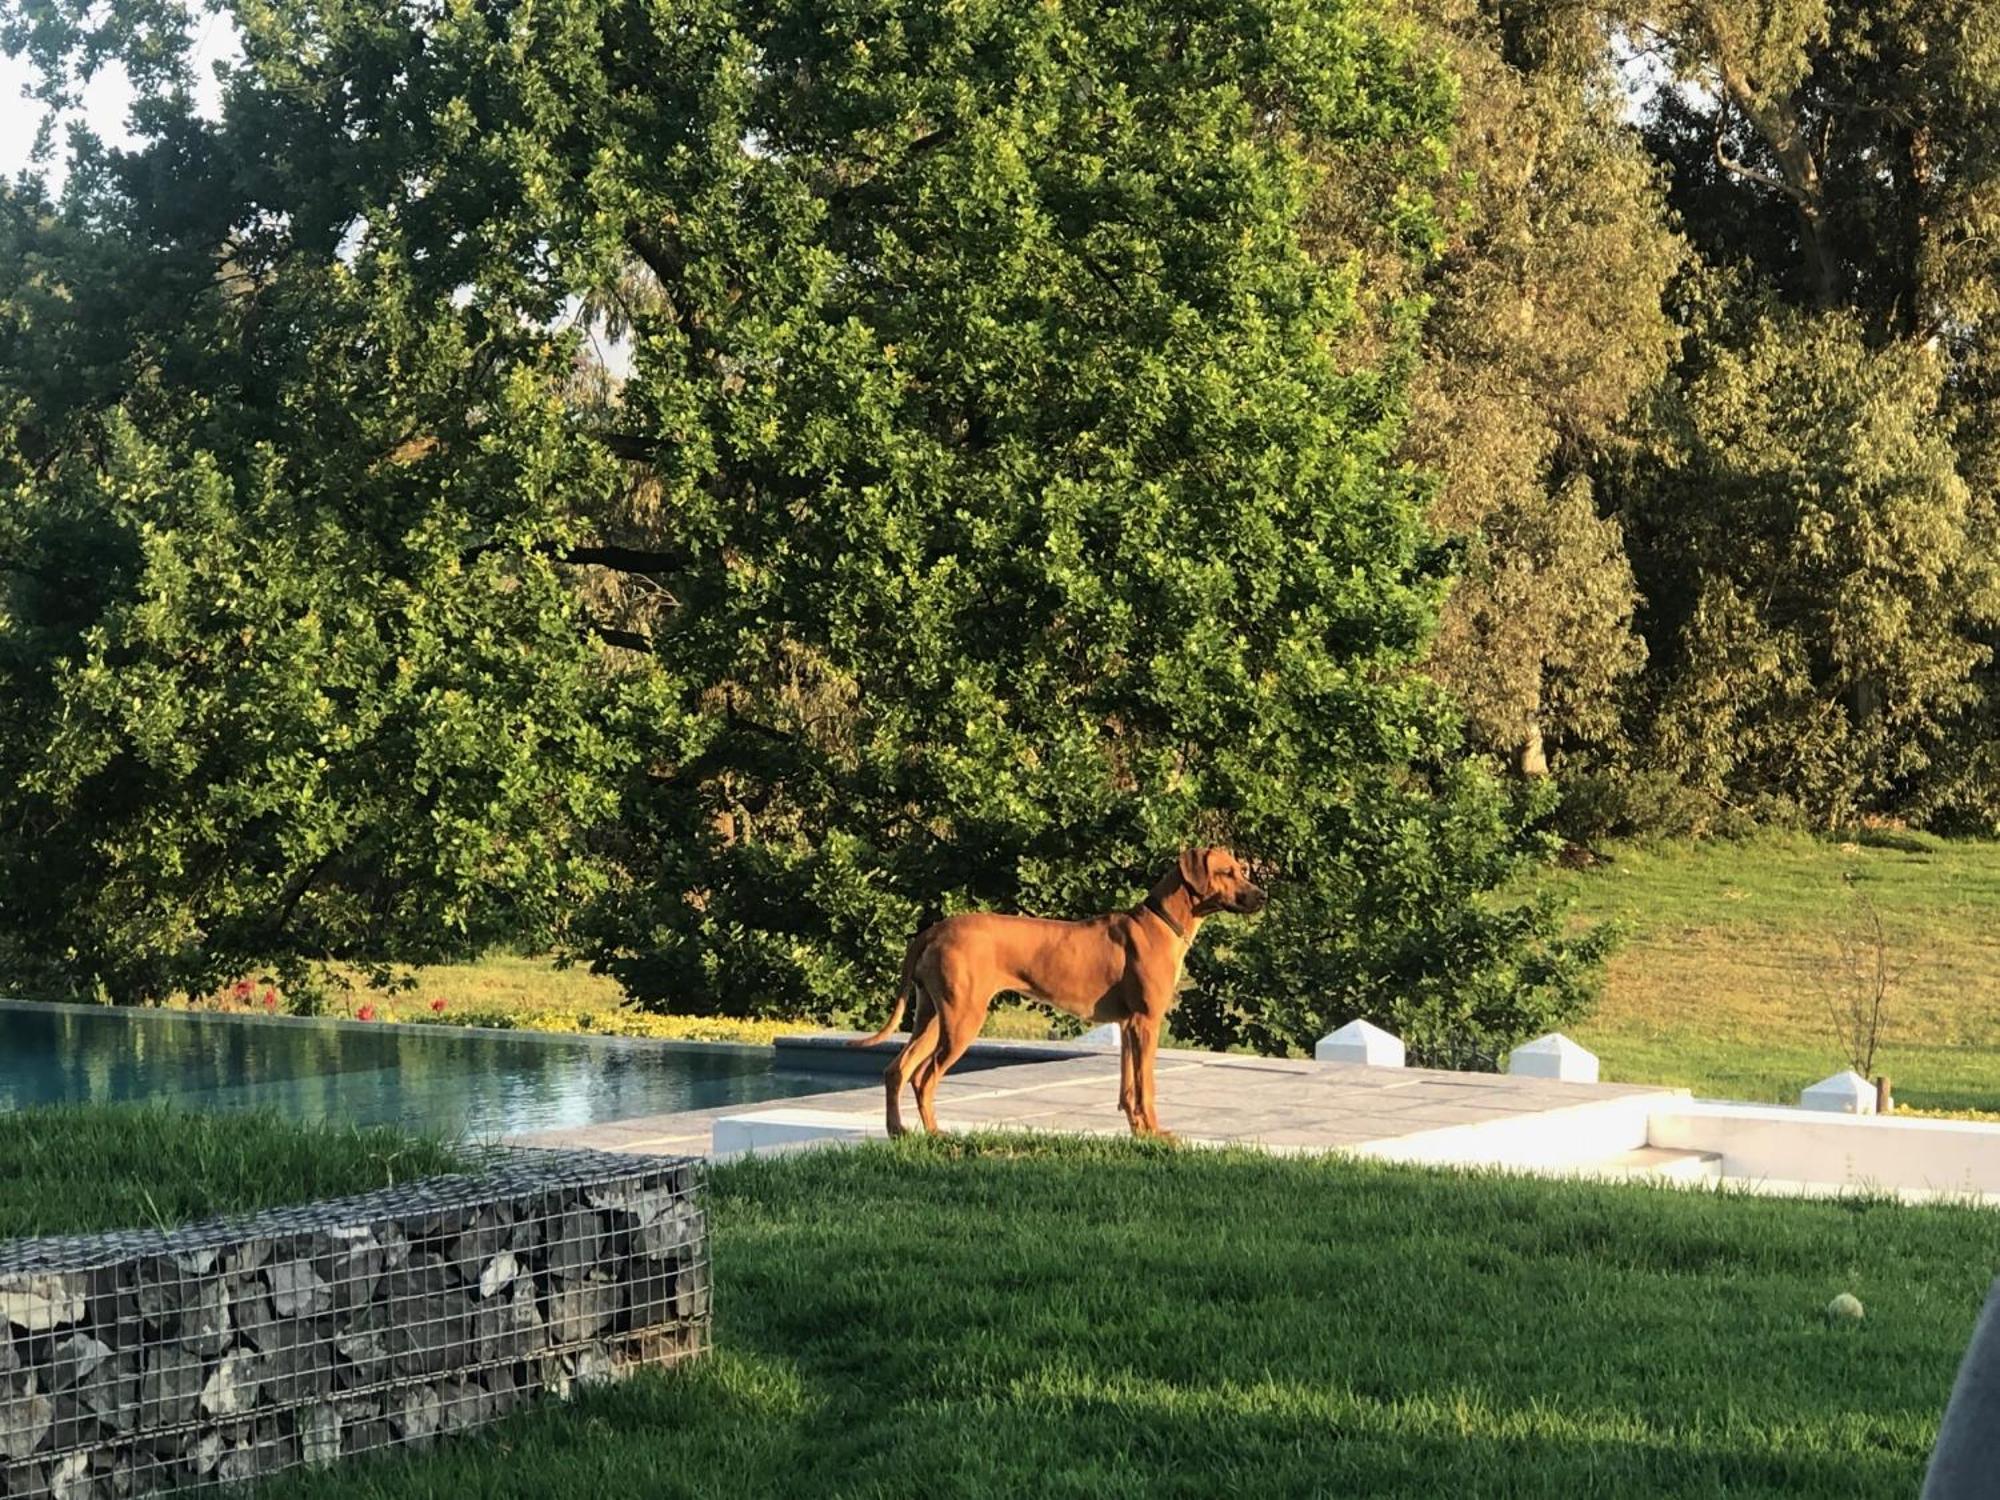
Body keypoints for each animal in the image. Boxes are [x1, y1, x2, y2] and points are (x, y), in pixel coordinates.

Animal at [856, 852, 1264, 1136]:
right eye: (1227, 872)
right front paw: (1156, 1135)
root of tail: (933, 930)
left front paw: (1138, 1133)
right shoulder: (1147, 1022)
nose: (1263, 896)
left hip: (932, 1015)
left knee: (897, 1069)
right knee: (924, 1077)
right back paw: (935, 1134)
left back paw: (898, 1130)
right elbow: (1146, 1087)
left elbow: (1128, 1088)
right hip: (962, 1019)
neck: (1160, 922)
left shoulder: (1129, 1025)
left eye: (1241, 869)